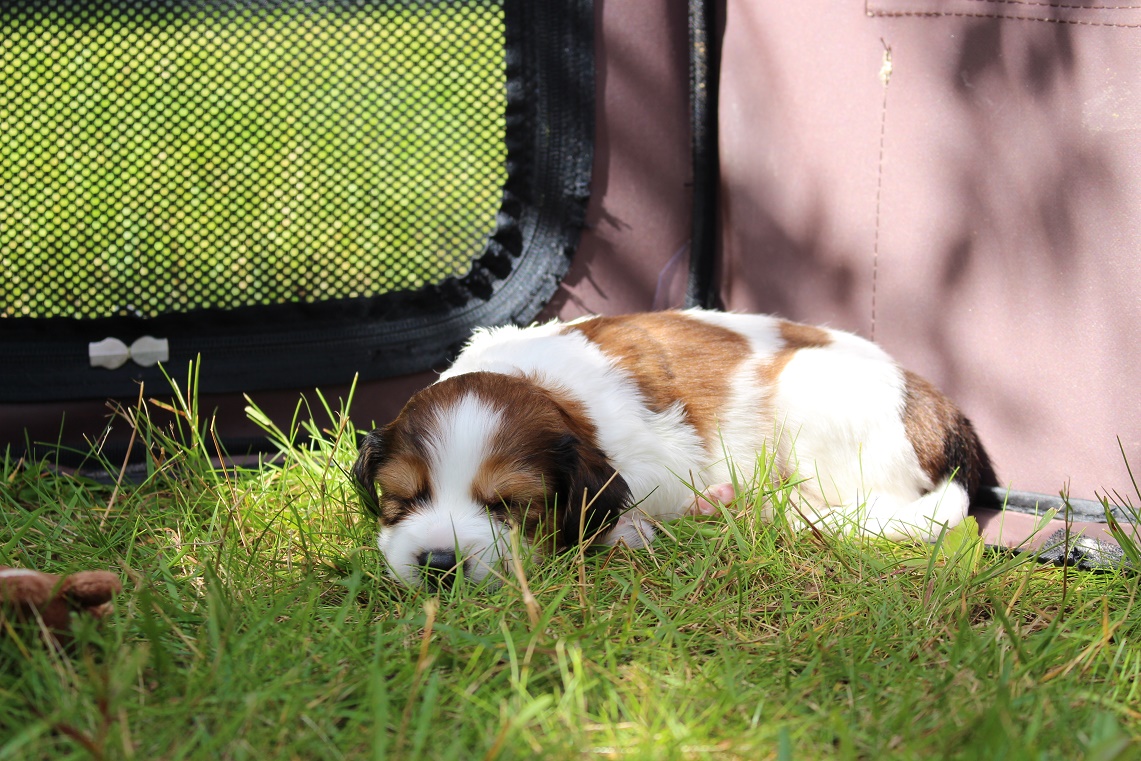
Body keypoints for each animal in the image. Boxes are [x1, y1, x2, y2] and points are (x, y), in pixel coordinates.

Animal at [352, 309, 996, 587]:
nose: (439, 565)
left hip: (812, 395)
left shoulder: (661, 459)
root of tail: (950, 417)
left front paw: (628, 531)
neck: (541, 381)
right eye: (402, 498)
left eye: (509, 506)